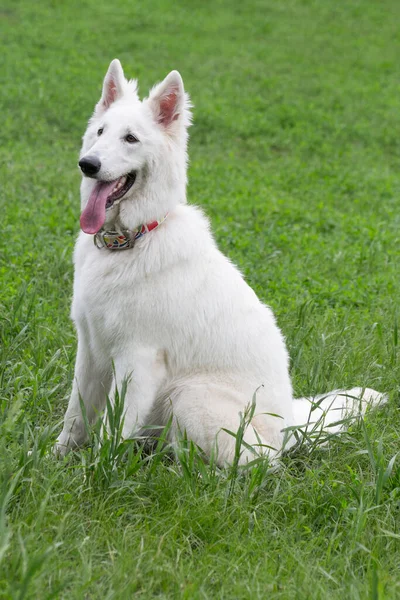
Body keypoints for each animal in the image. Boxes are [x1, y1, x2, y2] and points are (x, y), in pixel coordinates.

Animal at [56, 59, 384, 464]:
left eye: (130, 138)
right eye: (100, 132)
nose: (87, 164)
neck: (131, 241)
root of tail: (291, 429)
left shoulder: (138, 361)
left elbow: (110, 433)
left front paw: (98, 471)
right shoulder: (90, 350)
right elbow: (75, 418)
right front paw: (53, 460)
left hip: (188, 395)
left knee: (248, 466)